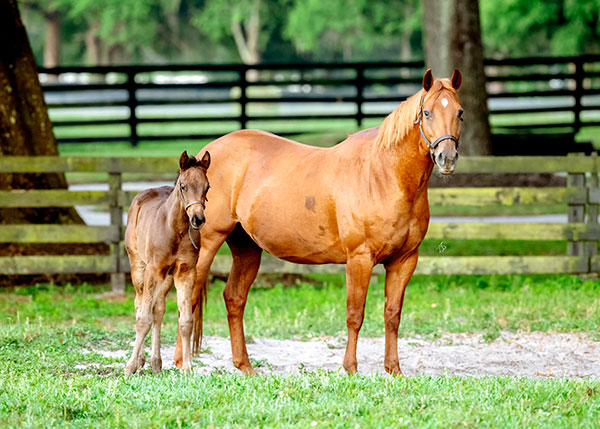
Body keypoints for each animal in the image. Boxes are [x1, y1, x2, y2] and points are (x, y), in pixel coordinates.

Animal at [125, 151, 211, 374]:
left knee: (158, 309)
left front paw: (188, 369)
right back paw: (141, 360)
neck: (175, 230)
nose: (198, 219)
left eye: (207, 187)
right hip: (138, 265)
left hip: (166, 278)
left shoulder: (185, 273)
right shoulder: (153, 270)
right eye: (183, 186)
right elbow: (143, 318)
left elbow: (186, 321)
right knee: (139, 304)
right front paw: (130, 367)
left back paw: (156, 362)